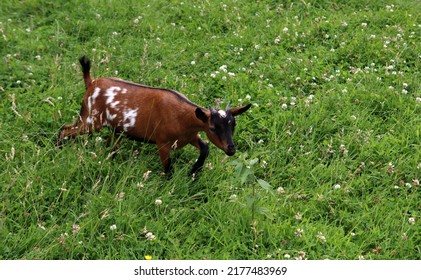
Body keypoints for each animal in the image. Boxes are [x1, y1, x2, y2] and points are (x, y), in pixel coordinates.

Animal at [57, 56, 251, 175]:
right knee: (65, 129)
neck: (183, 117)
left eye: (233, 125)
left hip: (113, 127)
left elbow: (205, 148)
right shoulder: (162, 143)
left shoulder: (190, 137)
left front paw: (193, 172)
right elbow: (168, 168)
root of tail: (91, 83)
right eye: (212, 127)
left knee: (107, 143)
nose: (231, 149)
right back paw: (58, 148)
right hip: (90, 119)